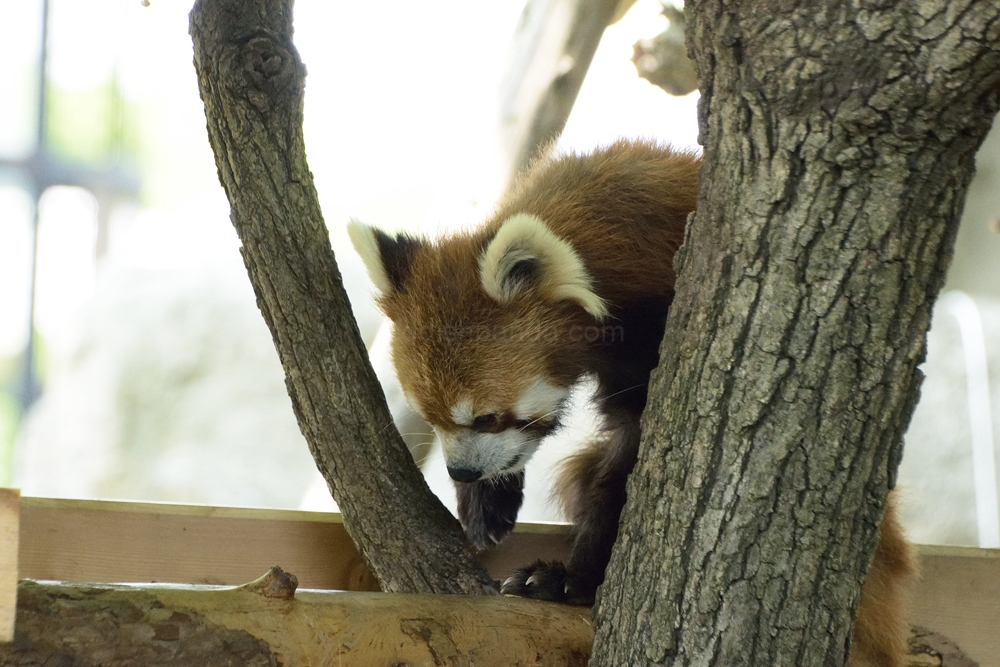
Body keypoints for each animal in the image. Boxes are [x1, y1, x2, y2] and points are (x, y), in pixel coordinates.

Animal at [350, 138, 916, 664]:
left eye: (487, 416)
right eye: (431, 419)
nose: (462, 472)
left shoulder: (661, 332)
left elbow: (633, 459)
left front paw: (572, 578)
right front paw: (486, 503)